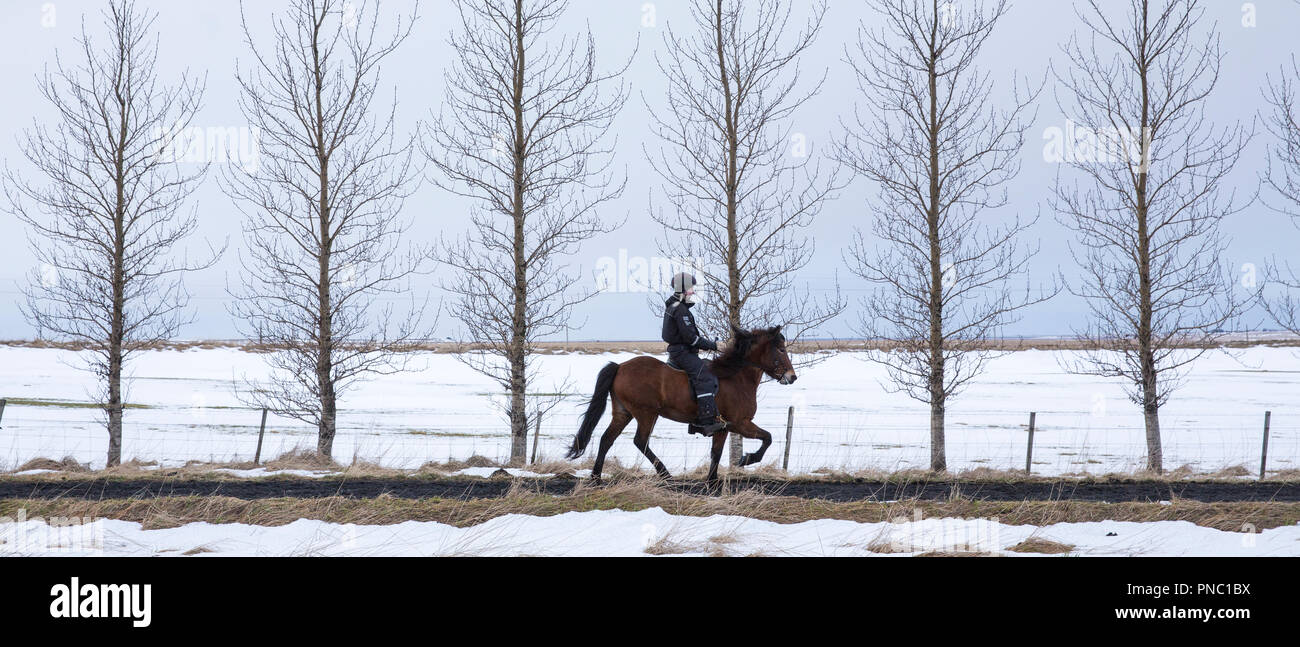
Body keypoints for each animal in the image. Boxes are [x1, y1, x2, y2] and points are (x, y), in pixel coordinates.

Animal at [564, 325, 798, 485]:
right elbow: (766, 438)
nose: (792, 377)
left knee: (607, 439)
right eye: (781, 349)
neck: (735, 376)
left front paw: (712, 482)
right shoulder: (738, 423)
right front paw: (747, 459)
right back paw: (665, 474)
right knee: (641, 441)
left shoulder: (724, 428)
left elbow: (716, 453)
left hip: (623, 413)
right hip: (646, 414)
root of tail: (620, 366)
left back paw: (596, 478)